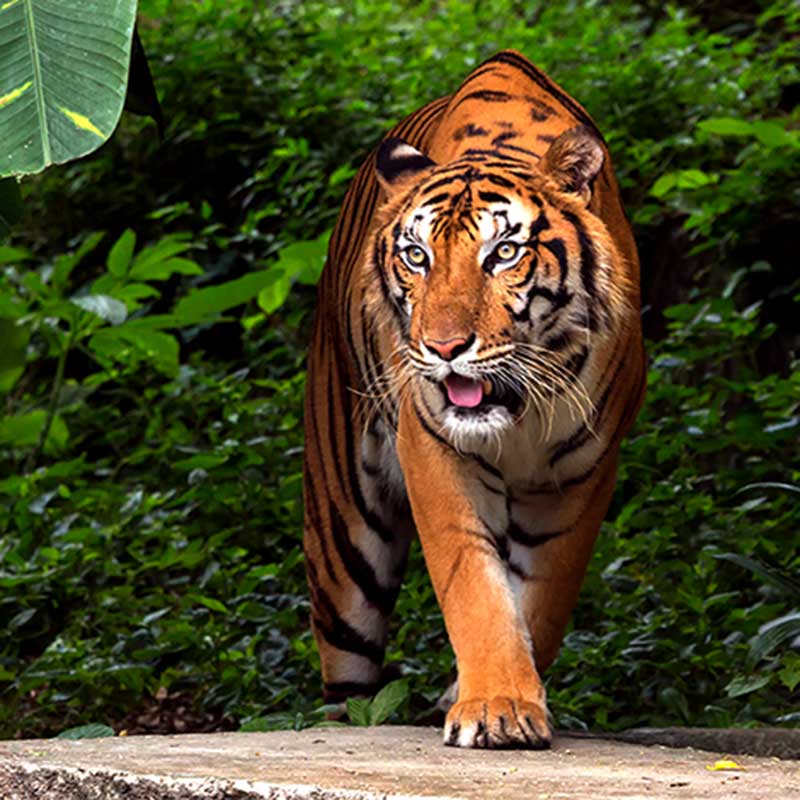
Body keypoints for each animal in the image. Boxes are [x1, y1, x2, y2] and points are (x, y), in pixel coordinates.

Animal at [303, 49, 646, 749]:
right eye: (416, 256)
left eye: (504, 253)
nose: (443, 347)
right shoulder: (434, 448)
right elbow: (475, 585)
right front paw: (495, 706)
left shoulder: (584, 473)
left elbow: (542, 599)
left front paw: (496, 696)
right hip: (343, 534)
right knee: (346, 677)